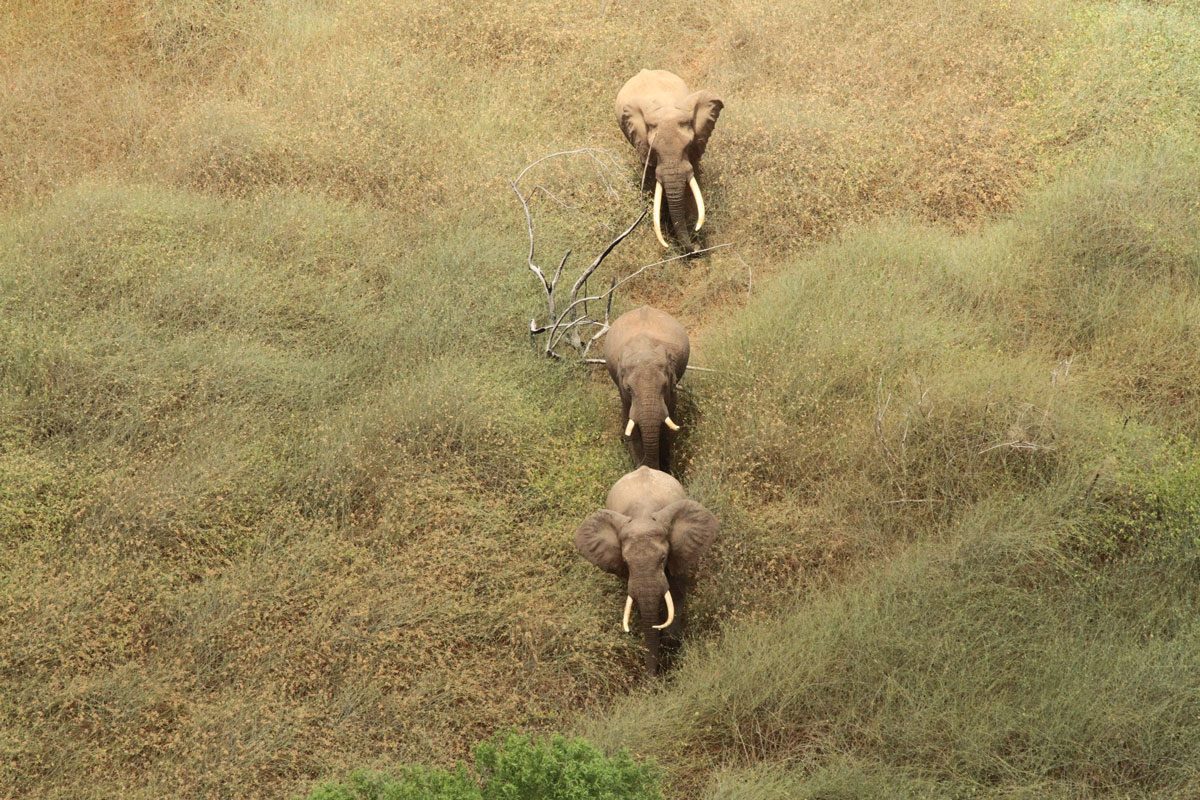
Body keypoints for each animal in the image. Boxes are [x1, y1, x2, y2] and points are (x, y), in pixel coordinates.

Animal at [574, 466, 720, 675]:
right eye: (626, 563)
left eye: (663, 558)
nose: (652, 679)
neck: (643, 515)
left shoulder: (678, 554)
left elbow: (677, 594)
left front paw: (668, 642)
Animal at [604, 305, 689, 474]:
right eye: (629, 389)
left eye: (664, 386)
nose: (645, 467)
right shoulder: (623, 392)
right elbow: (630, 425)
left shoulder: (672, 388)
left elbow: (667, 427)